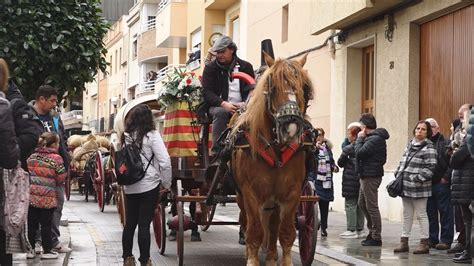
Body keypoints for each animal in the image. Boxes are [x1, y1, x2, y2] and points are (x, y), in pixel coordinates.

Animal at [231, 52, 312, 266]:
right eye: (272, 86)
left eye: (304, 87)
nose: (291, 128)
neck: (276, 150)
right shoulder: (250, 193)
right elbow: (255, 231)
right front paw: (252, 259)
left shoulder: (292, 193)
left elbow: (285, 232)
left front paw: (281, 260)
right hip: (242, 196)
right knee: (245, 221)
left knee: (274, 226)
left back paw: (270, 256)